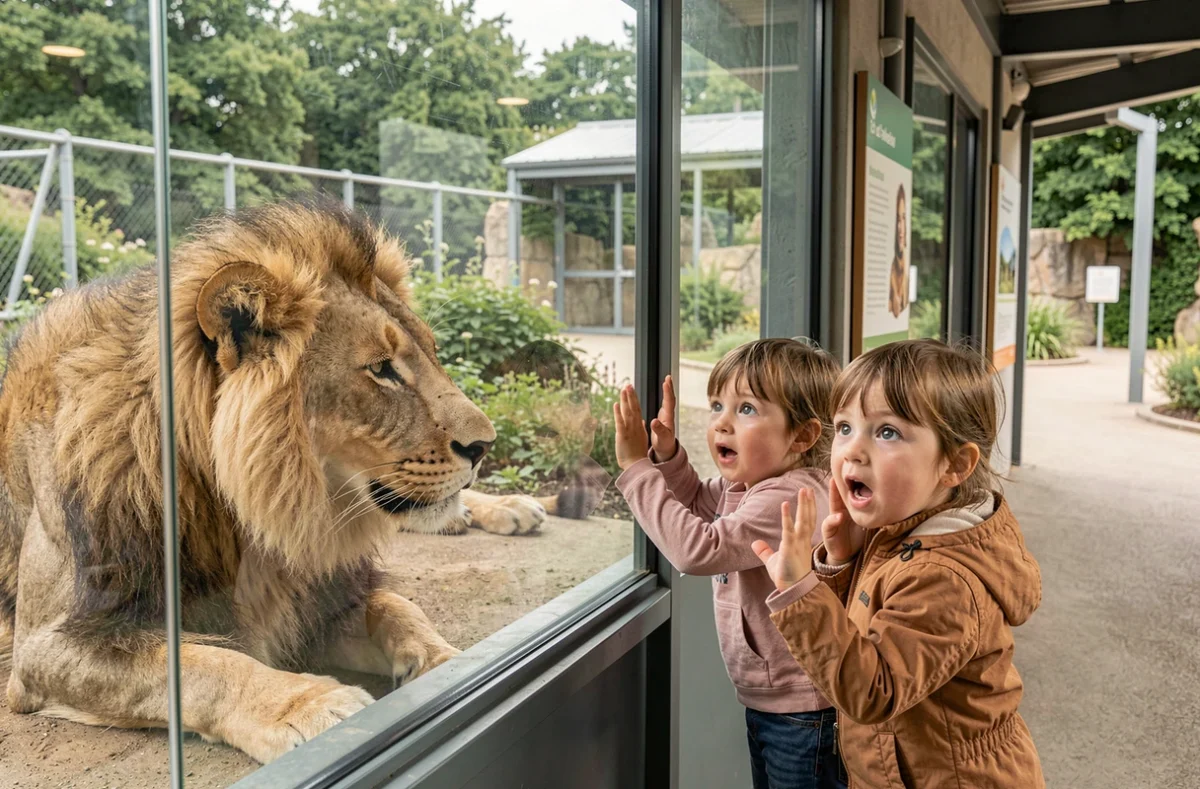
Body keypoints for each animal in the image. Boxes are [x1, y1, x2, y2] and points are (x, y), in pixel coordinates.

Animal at [0, 202, 584, 763]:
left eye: (433, 354)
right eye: (382, 369)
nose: (484, 446)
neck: (260, 522)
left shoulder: (320, 595)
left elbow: (399, 607)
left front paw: (449, 664)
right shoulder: (48, 645)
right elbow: (201, 663)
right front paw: (309, 704)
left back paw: (509, 507)